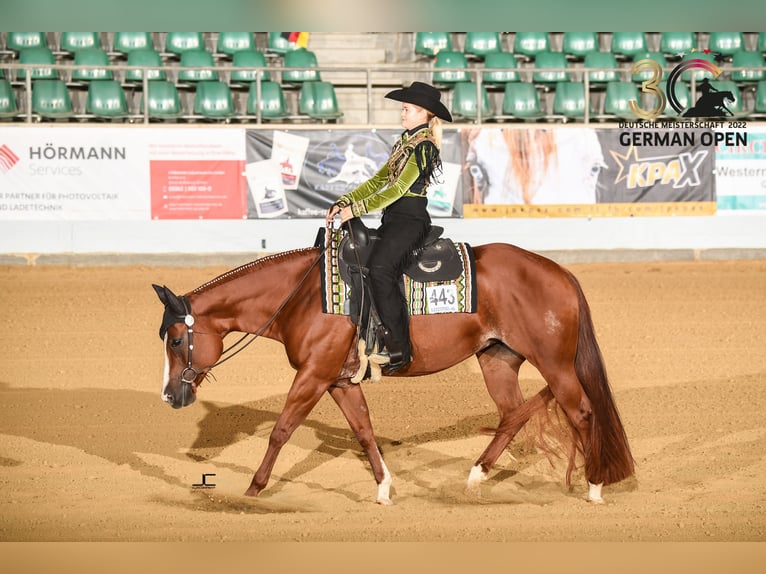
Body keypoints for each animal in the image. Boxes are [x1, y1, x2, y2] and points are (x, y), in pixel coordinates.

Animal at [152, 232, 636, 506]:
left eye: (175, 340)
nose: (170, 396)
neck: (302, 296)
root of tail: (560, 273)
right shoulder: (338, 381)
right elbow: (364, 431)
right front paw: (384, 489)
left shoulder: (312, 376)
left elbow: (281, 430)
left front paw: (253, 491)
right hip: (497, 358)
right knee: (513, 415)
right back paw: (475, 477)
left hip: (555, 365)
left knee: (582, 413)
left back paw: (594, 487)